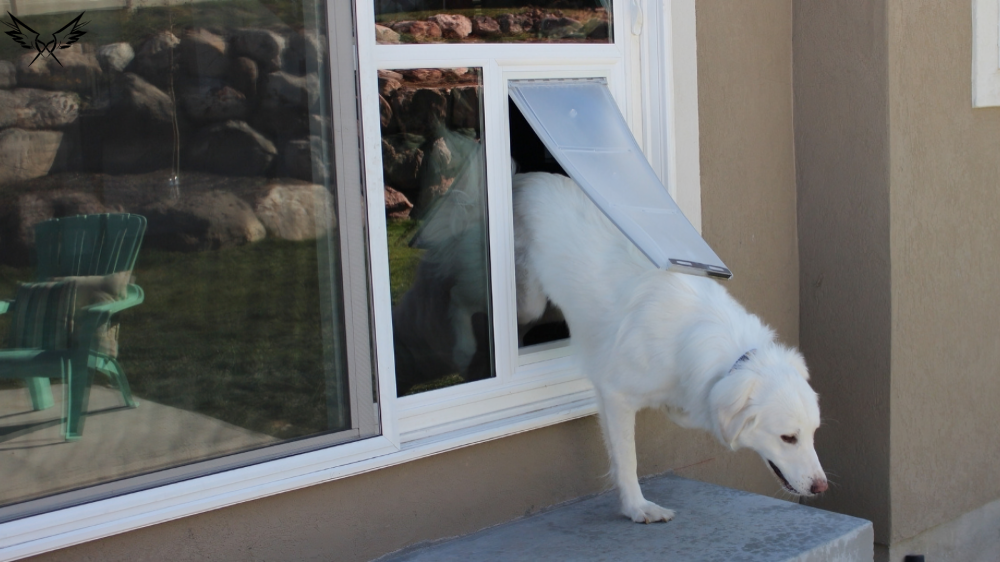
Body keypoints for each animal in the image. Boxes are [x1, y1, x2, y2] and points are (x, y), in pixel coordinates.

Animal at [516, 171, 828, 520]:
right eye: (788, 438)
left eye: (814, 433)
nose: (822, 487)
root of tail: (528, 176)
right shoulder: (615, 394)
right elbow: (627, 457)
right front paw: (637, 507)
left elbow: (693, 409)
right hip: (530, 304)